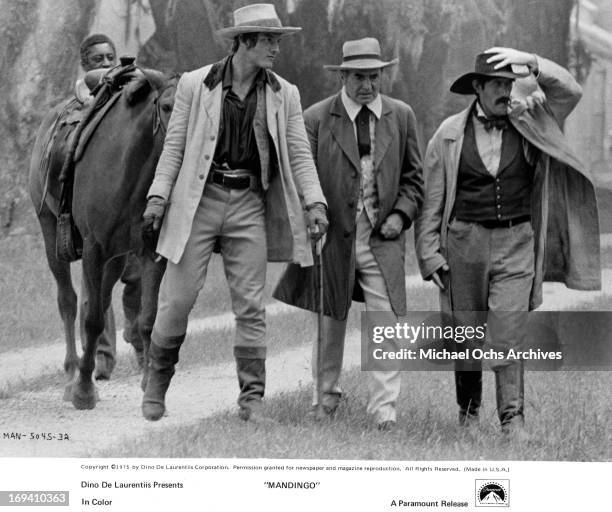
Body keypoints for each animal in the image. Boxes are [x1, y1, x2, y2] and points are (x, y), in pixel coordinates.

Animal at [29, 69, 177, 408]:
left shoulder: (148, 250)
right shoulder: (94, 249)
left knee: (100, 299)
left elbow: (147, 319)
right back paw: (72, 375)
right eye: (166, 106)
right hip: (50, 233)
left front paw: (148, 384)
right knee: (69, 302)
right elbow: (93, 319)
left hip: (116, 258)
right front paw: (83, 390)